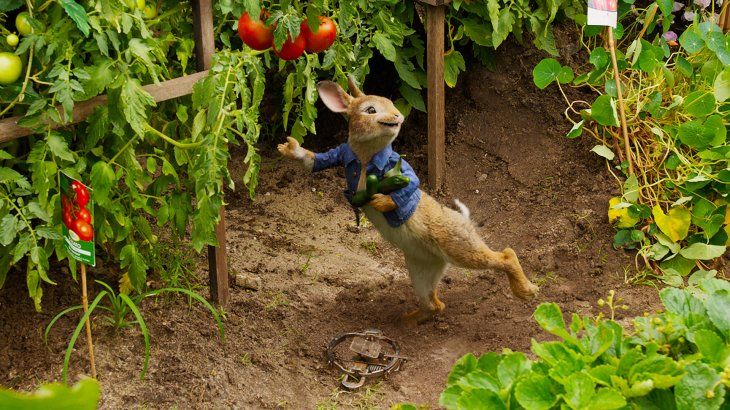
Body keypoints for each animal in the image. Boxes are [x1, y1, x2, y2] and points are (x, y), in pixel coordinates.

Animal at [278, 75, 538, 324]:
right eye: (370, 110)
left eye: (391, 103)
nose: (398, 117)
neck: (365, 159)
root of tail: (463, 220)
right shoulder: (342, 154)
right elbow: (318, 160)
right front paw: (289, 148)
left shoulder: (398, 169)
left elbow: (410, 182)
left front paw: (381, 202)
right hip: (421, 270)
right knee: (434, 305)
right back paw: (406, 322)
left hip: (458, 247)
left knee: (505, 256)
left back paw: (527, 291)